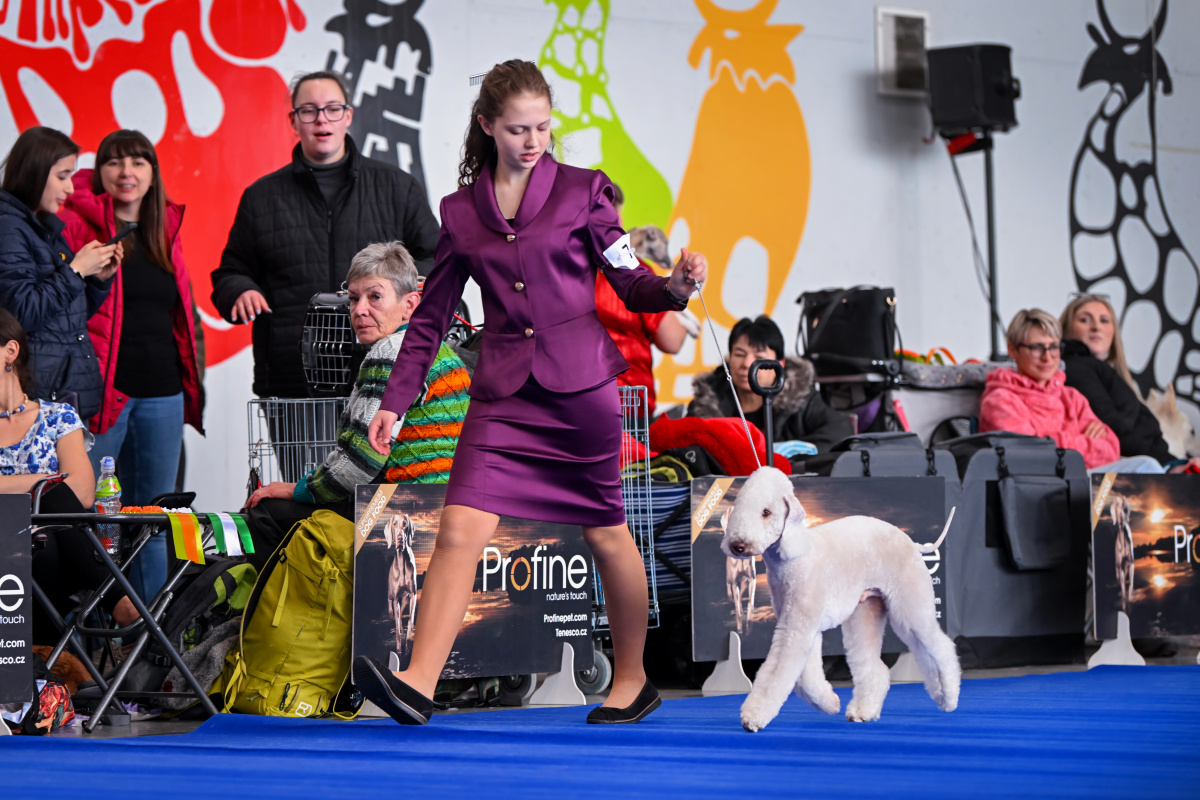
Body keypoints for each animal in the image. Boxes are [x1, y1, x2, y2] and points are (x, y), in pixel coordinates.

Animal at [720, 467, 961, 732]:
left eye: (766, 512)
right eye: (739, 507)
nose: (737, 545)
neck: (791, 555)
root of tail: (910, 542)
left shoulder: (797, 626)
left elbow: (777, 672)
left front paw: (752, 718)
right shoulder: (802, 624)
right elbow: (805, 677)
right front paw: (830, 703)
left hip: (911, 606)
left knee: (941, 647)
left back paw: (948, 698)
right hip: (866, 610)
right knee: (874, 667)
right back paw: (863, 712)